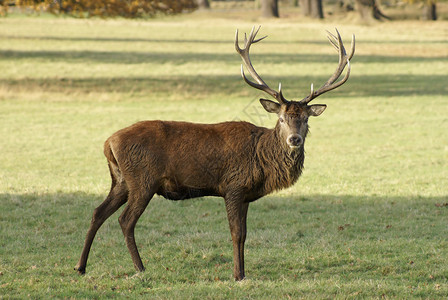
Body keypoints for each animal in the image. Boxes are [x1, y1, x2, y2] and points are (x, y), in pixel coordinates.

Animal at [75, 26, 356, 282]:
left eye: (306, 119)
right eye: (281, 118)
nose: (294, 139)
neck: (262, 160)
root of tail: (108, 142)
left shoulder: (245, 194)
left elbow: (245, 233)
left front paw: (243, 272)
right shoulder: (233, 186)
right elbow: (236, 233)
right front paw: (238, 275)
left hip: (121, 179)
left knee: (98, 212)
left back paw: (81, 266)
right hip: (143, 179)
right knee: (125, 220)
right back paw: (140, 268)